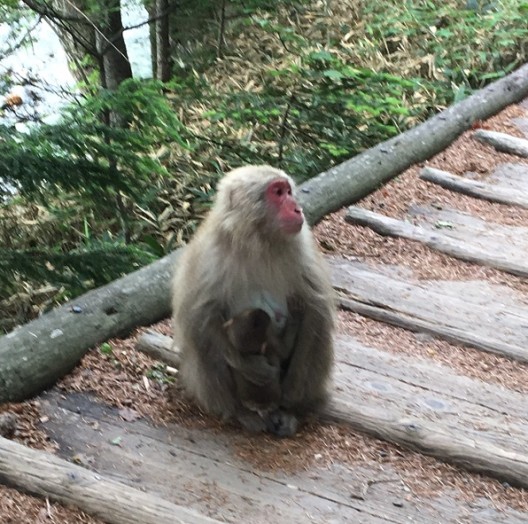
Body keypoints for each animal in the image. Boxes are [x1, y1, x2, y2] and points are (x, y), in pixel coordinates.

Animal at [171, 166, 334, 436]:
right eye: (277, 193)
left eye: (288, 191)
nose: (297, 208)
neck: (257, 241)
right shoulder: (208, 255)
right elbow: (199, 317)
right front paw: (249, 367)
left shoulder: (301, 246)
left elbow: (315, 310)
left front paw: (291, 397)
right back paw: (239, 411)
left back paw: (290, 408)